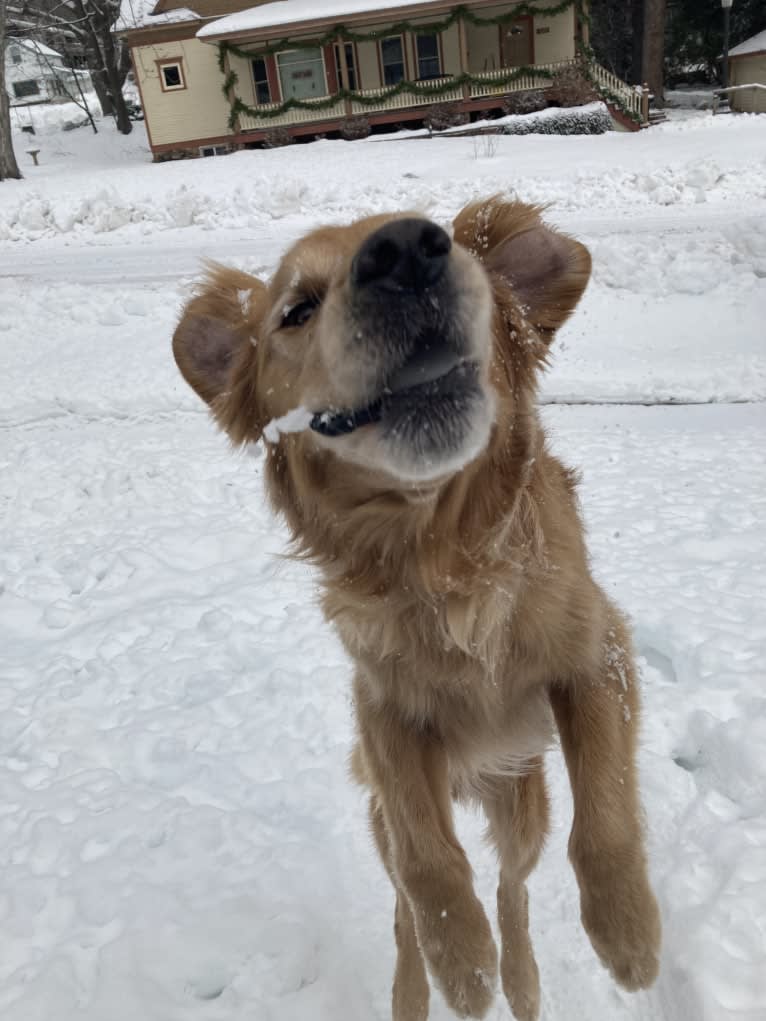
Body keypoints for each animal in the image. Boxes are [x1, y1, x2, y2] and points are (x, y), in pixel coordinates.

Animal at [172, 199, 661, 1021]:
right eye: (296, 309)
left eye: (450, 243)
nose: (404, 251)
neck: (444, 561)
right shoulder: (384, 716)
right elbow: (427, 857)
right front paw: (459, 960)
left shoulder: (600, 658)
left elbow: (605, 810)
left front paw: (627, 930)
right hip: (381, 818)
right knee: (404, 896)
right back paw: (422, 980)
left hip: (523, 806)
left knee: (514, 886)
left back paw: (522, 978)